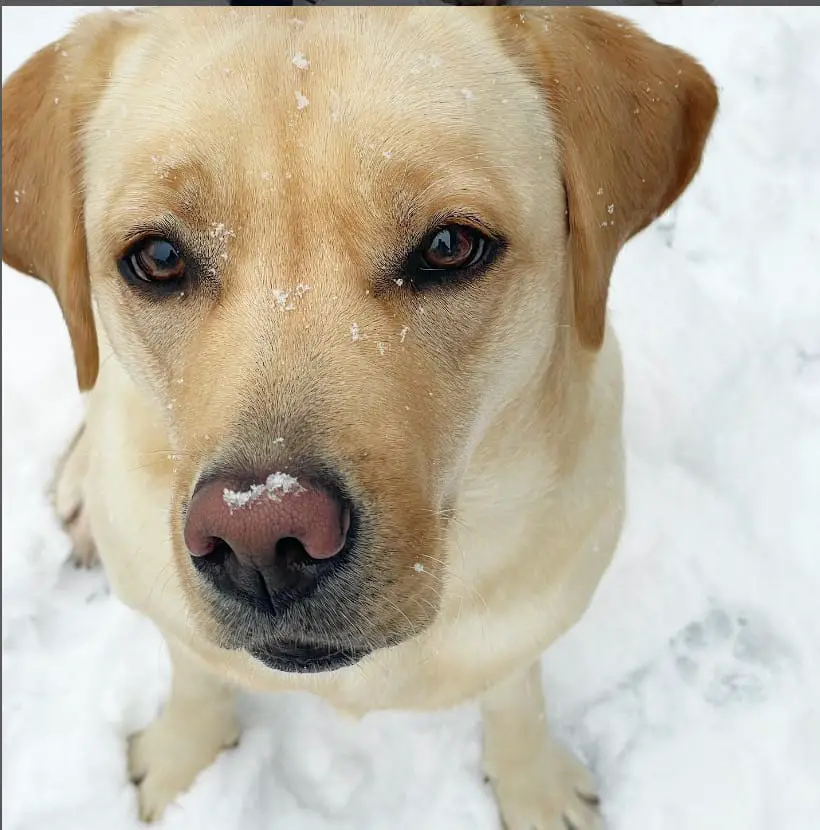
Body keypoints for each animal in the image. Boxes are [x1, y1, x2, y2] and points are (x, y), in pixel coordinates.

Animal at [1, 8, 716, 830]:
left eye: (450, 245)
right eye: (157, 258)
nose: (261, 541)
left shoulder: (534, 615)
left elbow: (515, 695)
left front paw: (533, 788)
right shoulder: (177, 621)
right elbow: (198, 679)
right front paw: (185, 769)